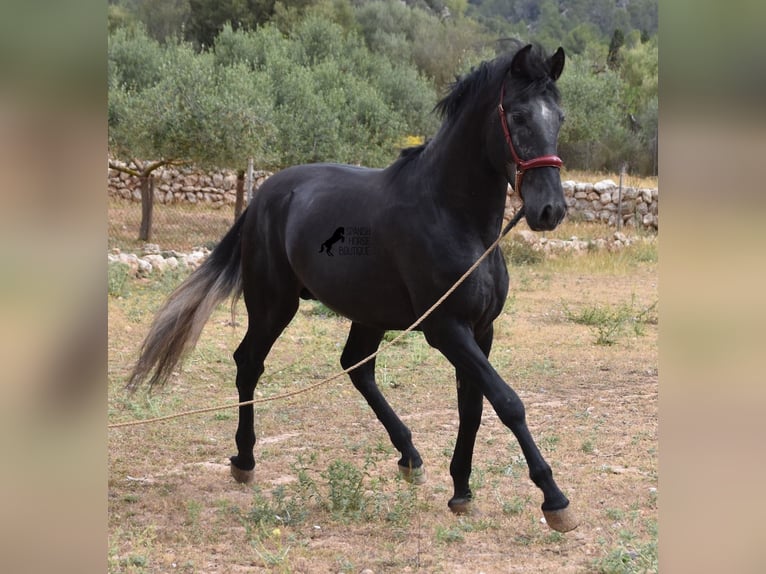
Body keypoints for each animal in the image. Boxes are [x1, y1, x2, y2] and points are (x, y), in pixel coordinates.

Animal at [129, 44, 580, 536]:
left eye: (559, 116)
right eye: (517, 115)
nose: (549, 210)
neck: (453, 216)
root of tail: (264, 195)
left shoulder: (481, 330)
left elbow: (473, 408)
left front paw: (461, 491)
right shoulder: (446, 329)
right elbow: (508, 402)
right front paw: (554, 499)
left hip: (366, 313)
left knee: (356, 368)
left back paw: (409, 456)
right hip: (272, 304)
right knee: (249, 363)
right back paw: (245, 460)